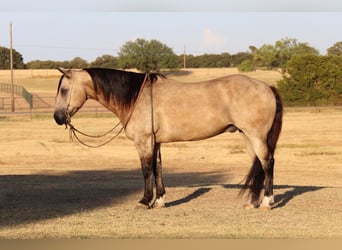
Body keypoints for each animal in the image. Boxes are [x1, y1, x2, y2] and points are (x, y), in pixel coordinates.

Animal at [54, 67, 284, 210]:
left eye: (64, 90)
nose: (57, 117)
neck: (136, 97)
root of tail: (267, 87)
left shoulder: (144, 142)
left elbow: (146, 170)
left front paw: (144, 201)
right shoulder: (155, 143)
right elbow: (158, 169)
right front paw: (159, 201)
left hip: (256, 136)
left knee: (268, 163)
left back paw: (267, 202)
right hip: (248, 136)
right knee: (258, 165)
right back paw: (252, 202)